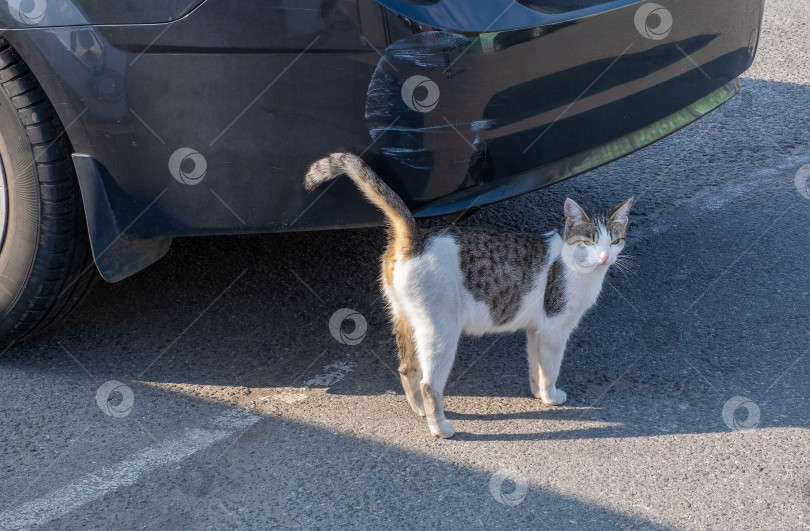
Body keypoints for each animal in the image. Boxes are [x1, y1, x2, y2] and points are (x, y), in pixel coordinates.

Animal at [304, 154, 632, 440]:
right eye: (588, 242)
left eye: (615, 241)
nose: (604, 257)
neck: (573, 264)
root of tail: (416, 237)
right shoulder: (554, 330)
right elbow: (550, 368)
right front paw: (551, 396)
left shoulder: (535, 330)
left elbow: (535, 365)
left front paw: (538, 393)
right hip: (441, 333)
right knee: (429, 384)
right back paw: (440, 427)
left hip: (405, 318)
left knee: (407, 370)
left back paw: (421, 411)